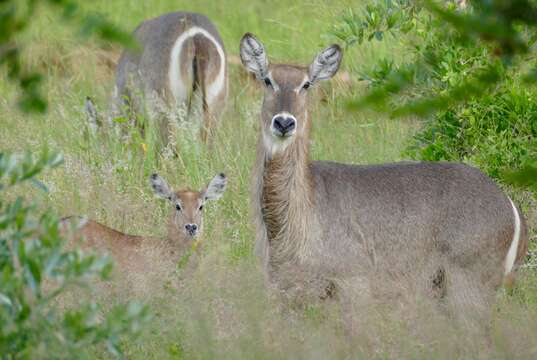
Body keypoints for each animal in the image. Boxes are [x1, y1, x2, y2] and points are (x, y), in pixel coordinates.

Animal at [240, 33, 528, 320]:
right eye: (268, 80)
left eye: (306, 84)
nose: (284, 122)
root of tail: (511, 206)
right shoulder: (286, 293)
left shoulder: (354, 283)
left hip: (468, 286)